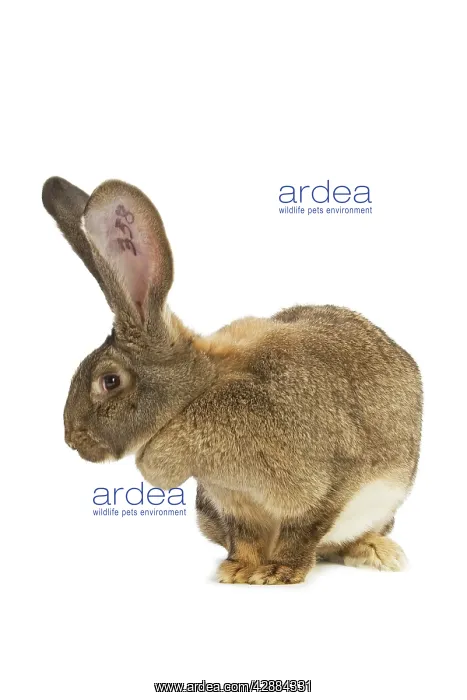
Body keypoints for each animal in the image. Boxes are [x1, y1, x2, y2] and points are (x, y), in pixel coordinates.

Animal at [42, 176, 423, 585]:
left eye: (110, 381)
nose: (71, 440)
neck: (196, 396)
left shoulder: (332, 480)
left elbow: (304, 530)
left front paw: (279, 573)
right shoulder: (233, 502)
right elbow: (246, 537)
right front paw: (238, 570)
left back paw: (378, 552)